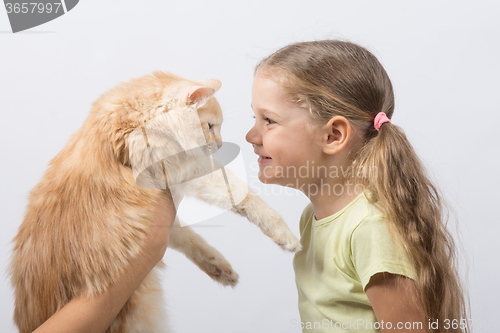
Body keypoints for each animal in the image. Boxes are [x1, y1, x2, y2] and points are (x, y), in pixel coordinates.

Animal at [10, 70, 300, 332]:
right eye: (210, 126)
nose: (218, 145)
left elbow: (189, 236)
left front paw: (218, 264)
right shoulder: (182, 167)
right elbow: (244, 195)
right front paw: (284, 234)